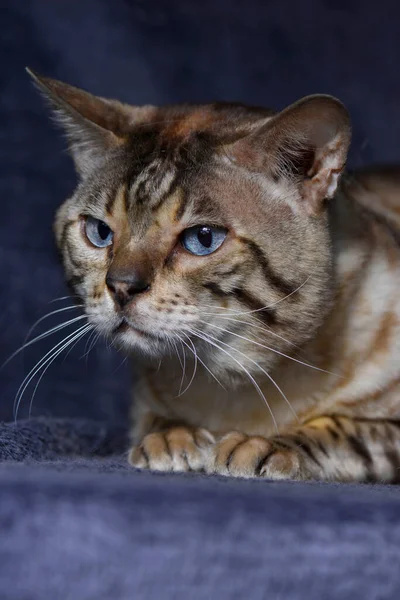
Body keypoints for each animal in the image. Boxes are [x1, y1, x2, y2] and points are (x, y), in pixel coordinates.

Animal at [29, 69, 400, 482]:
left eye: (202, 239)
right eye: (99, 232)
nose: (121, 287)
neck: (234, 386)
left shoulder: (389, 432)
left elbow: (342, 430)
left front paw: (259, 446)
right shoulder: (144, 405)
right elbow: (157, 421)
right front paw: (173, 439)